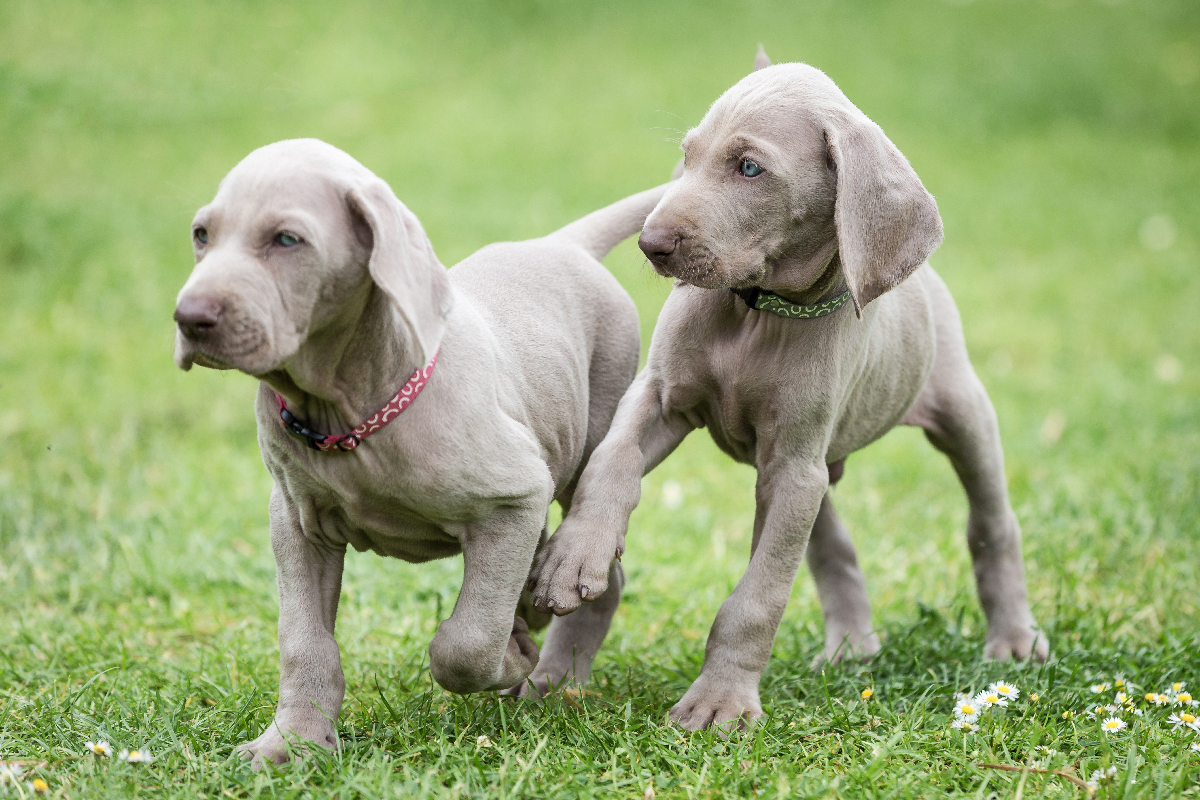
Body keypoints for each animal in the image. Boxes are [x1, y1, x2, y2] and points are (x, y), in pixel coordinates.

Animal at [535, 56, 1051, 734]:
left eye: (749, 168)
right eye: (687, 156)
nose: (652, 244)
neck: (757, 312)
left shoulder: (792, 465)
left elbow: (758, 597)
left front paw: (720, 701)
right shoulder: (660, 400)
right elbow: (610, 462)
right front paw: (576, 557)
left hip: (954, 415)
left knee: (992, 523)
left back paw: (1014, 638)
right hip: (809, 468)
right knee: (834, 545)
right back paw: (850, 647)